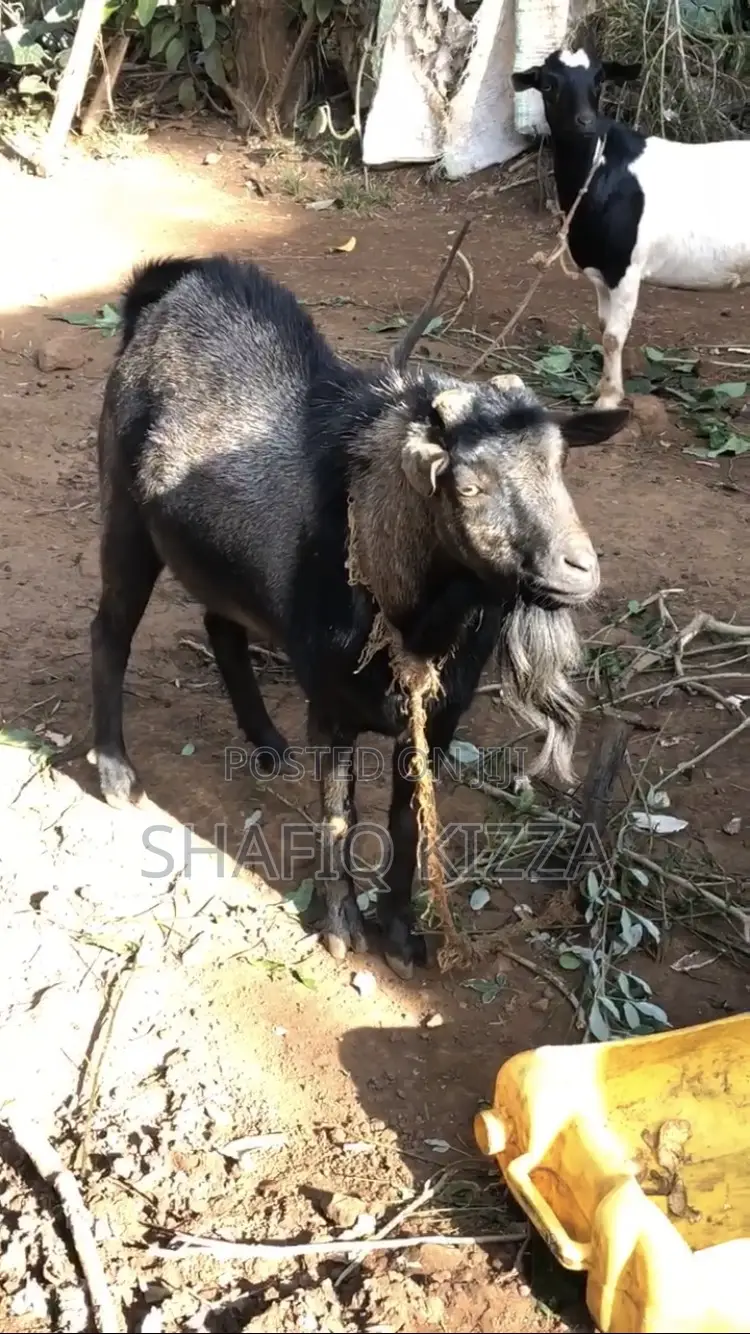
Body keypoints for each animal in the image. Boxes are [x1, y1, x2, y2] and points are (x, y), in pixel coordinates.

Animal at [90, 253, 628, 978]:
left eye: (560, 463)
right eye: (467, 484)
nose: (578, 569)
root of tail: (165, 286)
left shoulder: (432, 720)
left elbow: (407, 822)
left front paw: (401, 932)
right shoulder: (332, 708)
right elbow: (338, 816)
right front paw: (343, 926)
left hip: (220, 559)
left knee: (221, 626)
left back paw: (266, 741)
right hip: (125, 515)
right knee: (110, 631)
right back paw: (116, 773)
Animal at [512, 48, 750, 408]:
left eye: (599, 79)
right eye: (549, 84)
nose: (586, 122)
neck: (600, 171)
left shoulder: (626, 268)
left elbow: (613, 336)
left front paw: (609, 398)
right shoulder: (600, 270)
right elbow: (602, 326)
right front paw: (600, 388)